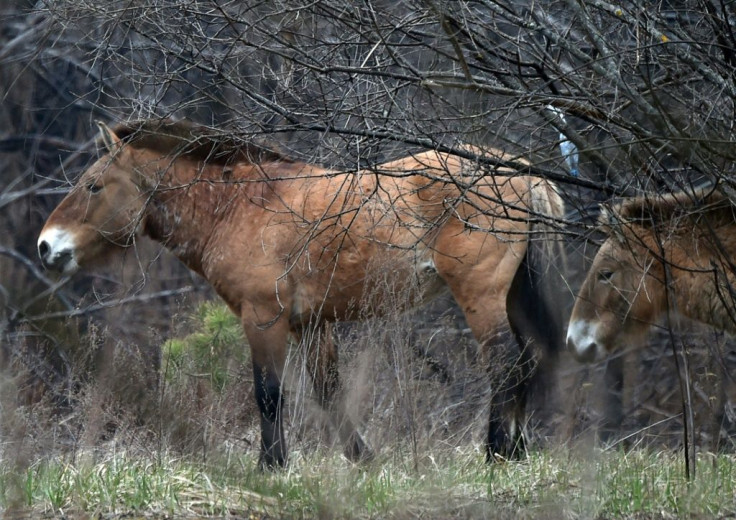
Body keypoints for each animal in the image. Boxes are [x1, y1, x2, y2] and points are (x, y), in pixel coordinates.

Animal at [37, 119, 568, 468]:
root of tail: (523, 172)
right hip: (513, 295)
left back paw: (496, 452)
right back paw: (517, 451)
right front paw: (362, 459)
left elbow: (269, 394)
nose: (46, 246)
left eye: (93, 185)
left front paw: (272, 466)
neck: (237, 207)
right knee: (528, 358)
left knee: (505, 363)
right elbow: (328, 394)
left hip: (481, 295)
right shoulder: (311, 325)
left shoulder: (263, 318)